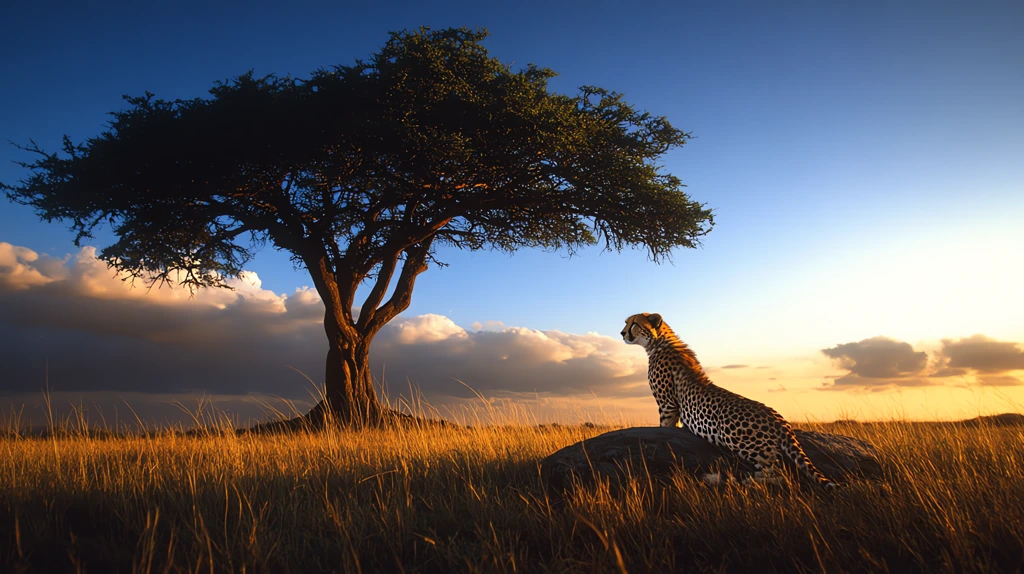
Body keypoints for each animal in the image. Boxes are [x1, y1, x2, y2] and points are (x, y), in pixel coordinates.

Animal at [618, 313, 835, 487]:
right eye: (626, 322)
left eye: (634, 323)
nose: (621, 333)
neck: (659, 342)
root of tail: (780, 421)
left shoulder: (667, 405)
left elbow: (665, 425)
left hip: (738, 438)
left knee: (781, 475)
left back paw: (733, 479)